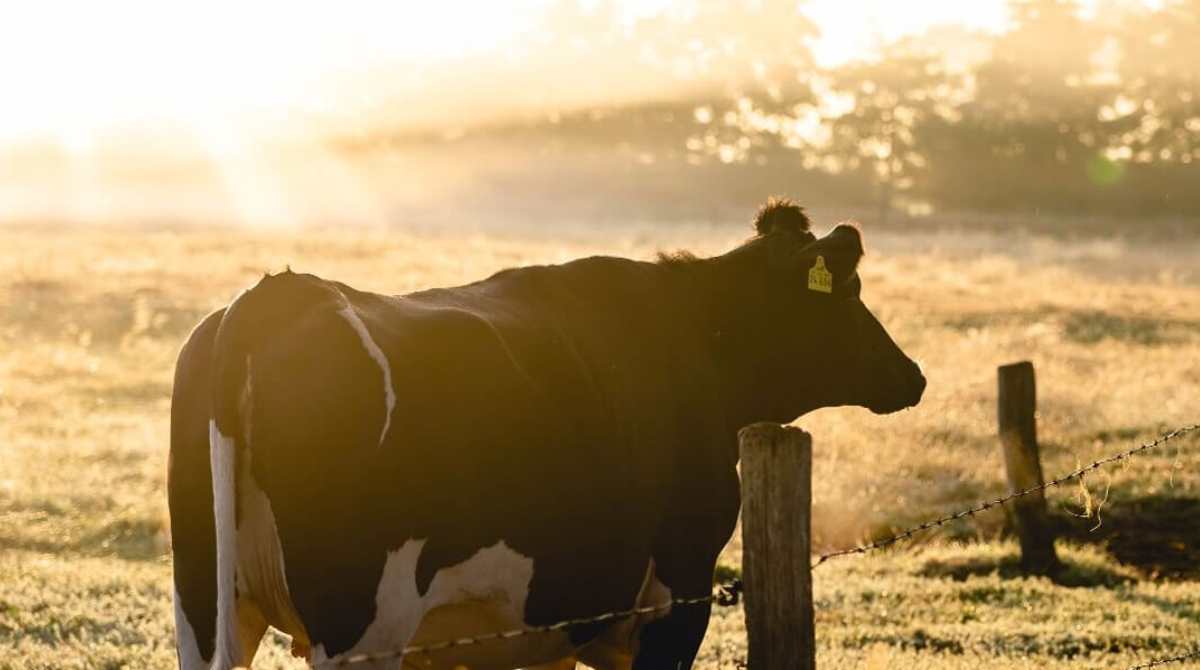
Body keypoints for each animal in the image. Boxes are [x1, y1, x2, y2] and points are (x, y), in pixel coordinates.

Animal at [168, 198, 925, 670]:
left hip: (205, 607)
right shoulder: (675, 595)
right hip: (361, 628)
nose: (912, 375)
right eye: (851, 291)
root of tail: (275, 295)